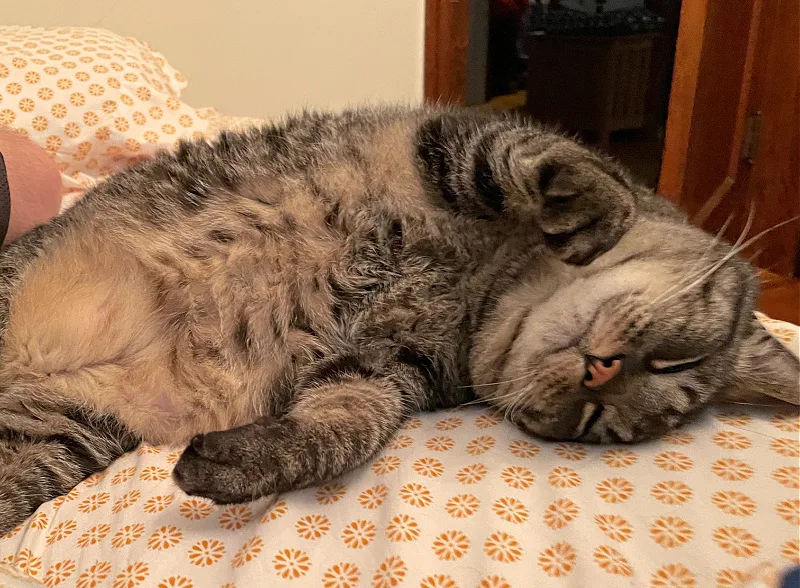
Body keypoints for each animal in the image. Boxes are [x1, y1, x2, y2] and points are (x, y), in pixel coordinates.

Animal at [1, 104, 800, 532]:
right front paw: (595, 213)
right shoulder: (446, 142)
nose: (599, 376)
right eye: (676, 357)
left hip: (59, 436)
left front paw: (232, 465)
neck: (481, 295)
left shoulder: (382, 368)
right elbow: (540, 160)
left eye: (592, 423)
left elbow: (342, 429)